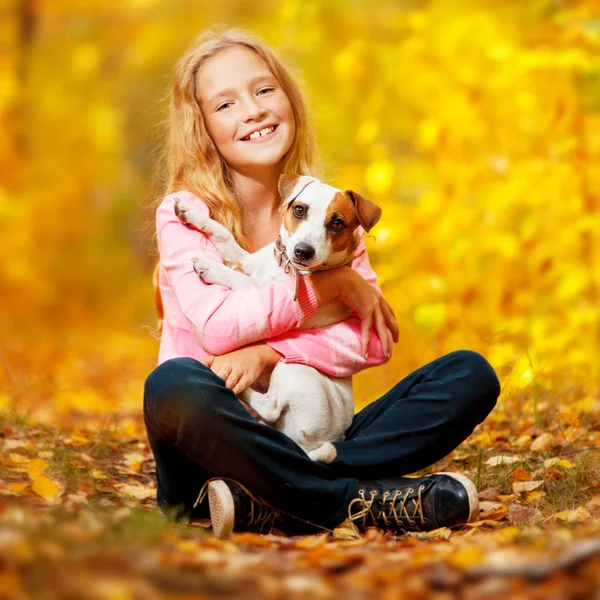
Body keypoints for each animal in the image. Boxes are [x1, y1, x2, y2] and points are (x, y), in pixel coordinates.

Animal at [175, 173, 380, 464]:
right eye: (299, 210)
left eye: (337, 223)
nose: (303, 251)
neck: (286, 269)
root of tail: (314, 445)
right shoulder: (249, 260)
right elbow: (225, 236)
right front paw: (190, 213)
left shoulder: (259, 294)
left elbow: (239, 279)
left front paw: (211, 267)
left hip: (293, 367)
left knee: (270, 405)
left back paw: (232, 384)